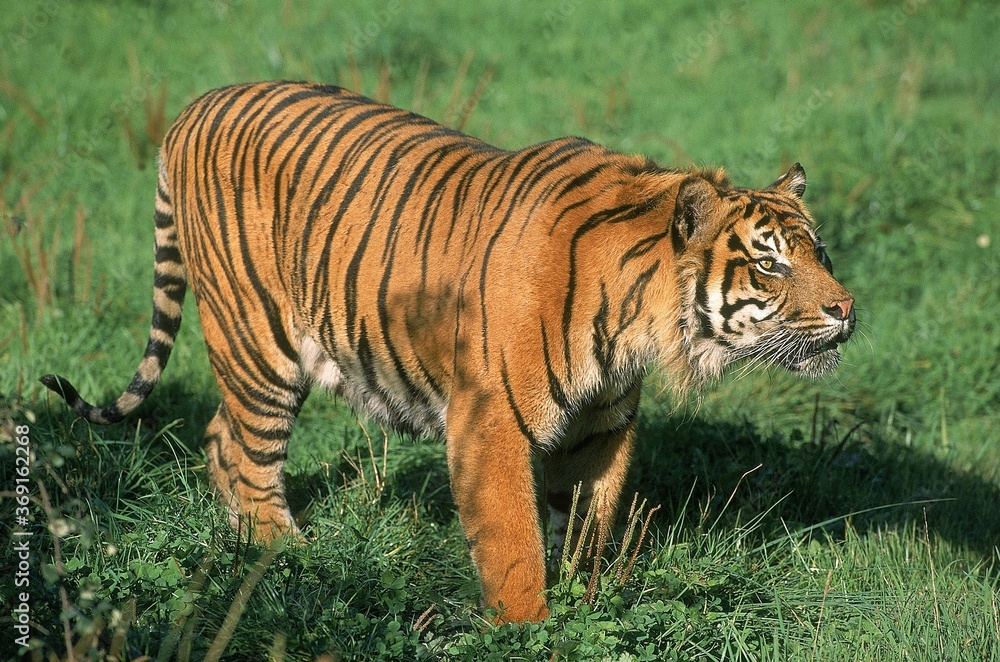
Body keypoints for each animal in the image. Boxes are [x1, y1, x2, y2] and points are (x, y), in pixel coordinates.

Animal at [42, 81, 855, 623]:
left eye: (818, 252)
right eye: (769, 264)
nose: (846, 310)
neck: (639, 317)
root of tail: (194, 105)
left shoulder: (601, 427)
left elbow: (588, 526)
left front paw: (588, 600)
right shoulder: (491, 418)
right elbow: (516, 542)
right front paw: (532, 629)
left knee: (217, 437)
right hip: (257, 338)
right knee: (244, 449)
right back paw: (288, 558)